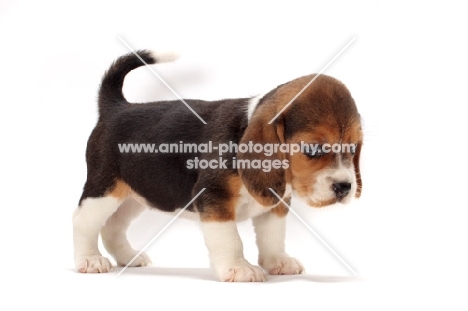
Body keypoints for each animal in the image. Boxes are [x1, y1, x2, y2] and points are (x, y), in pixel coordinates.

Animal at [73, 51, 364, 282]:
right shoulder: (215, 199)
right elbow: (230, 239)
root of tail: (116, 108)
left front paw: (278, 261)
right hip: (104, 190)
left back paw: (128, 257)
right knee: (83, 222)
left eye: (352, 149)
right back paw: (89, 259)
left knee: (113, 227)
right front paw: (238, 268)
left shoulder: (276, 202)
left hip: (136, 195)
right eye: (312, 149)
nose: (344, 187)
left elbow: (273, 234)